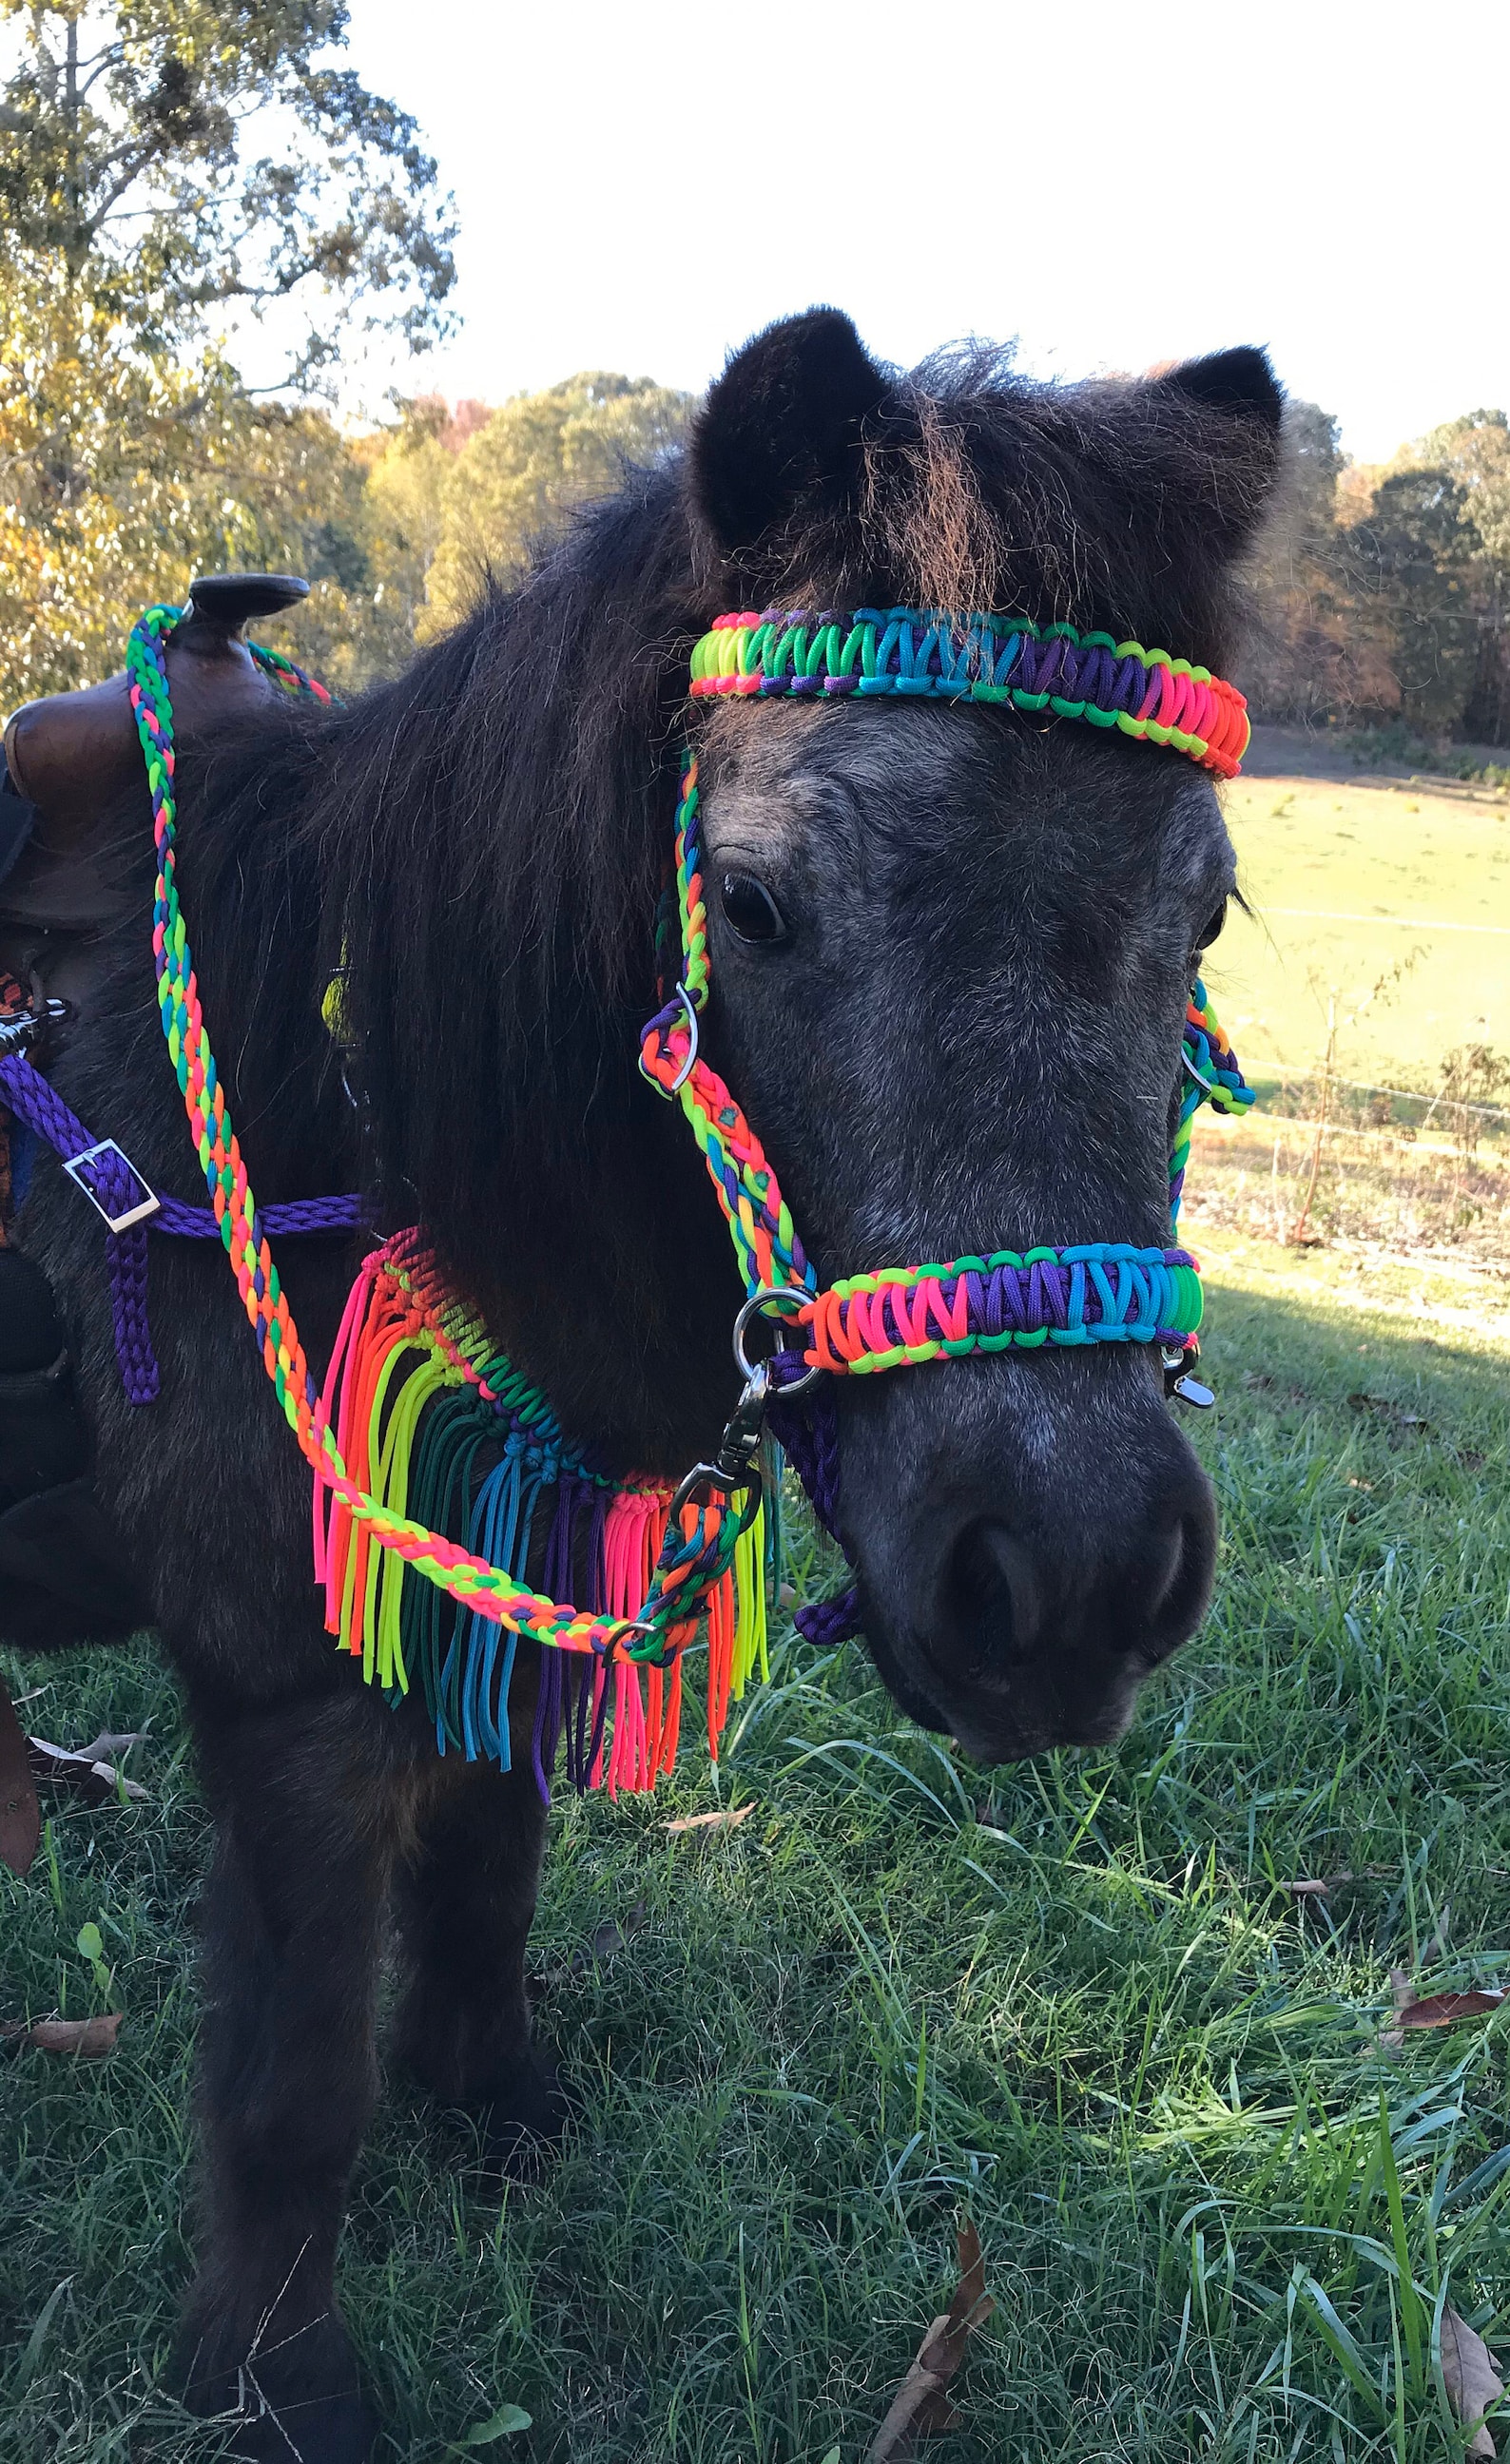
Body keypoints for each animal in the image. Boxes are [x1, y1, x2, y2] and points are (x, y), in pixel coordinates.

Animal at [0, 307, 1282, 2461]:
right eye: (749, 902)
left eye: (1200, 914)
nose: (1070, 1582)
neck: (343, 1098)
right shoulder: (288, 1691)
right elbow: (292, 2085)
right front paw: (275, 2380)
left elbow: (490, 1868)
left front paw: (491, 2106)